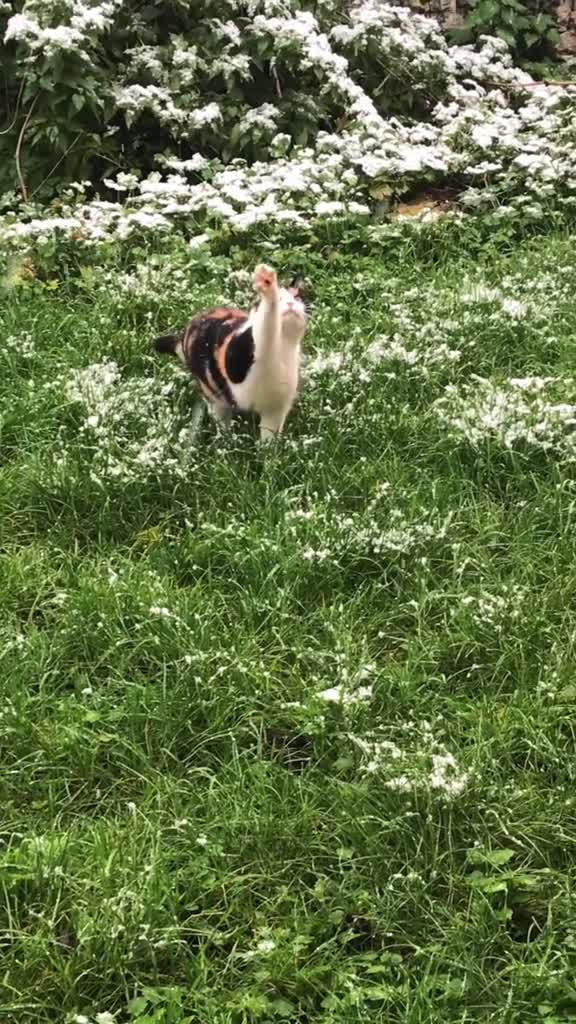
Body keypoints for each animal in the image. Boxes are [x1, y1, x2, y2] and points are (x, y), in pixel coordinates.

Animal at [154, 264, 308, 441]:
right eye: (281, 298)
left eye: (297, 298)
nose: (290, 303)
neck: (282, 346)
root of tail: (183, 337)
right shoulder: (242, 363)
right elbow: (266, 323)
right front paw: (267, 284)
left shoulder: (275, 409)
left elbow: (269, 437)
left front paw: (268, 447)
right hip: (214, 395)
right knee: (220, 417)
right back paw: (226, 438)